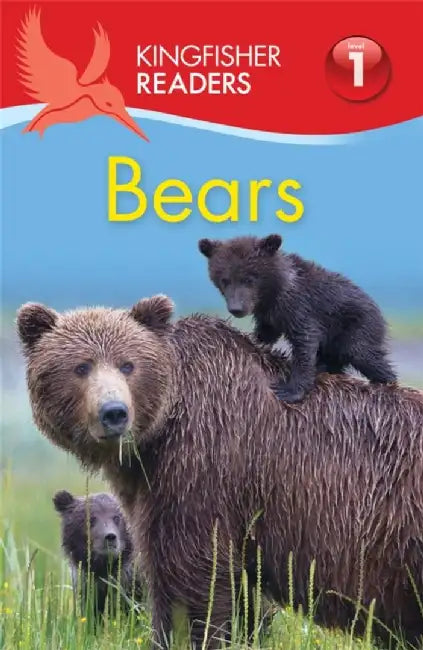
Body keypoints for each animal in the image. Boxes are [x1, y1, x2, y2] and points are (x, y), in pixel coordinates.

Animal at [198, 234, 397, 403]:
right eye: (225, 280)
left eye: (249, 279)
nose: (237, 308)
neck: (274, 292)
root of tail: (378, 309)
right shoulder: (269, 315)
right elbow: (266, 334)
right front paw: (253, 338)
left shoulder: (301, 306)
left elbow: (304, 343)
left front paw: (289, 390)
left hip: (356, 325)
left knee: (363, 353)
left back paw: (385, 382)